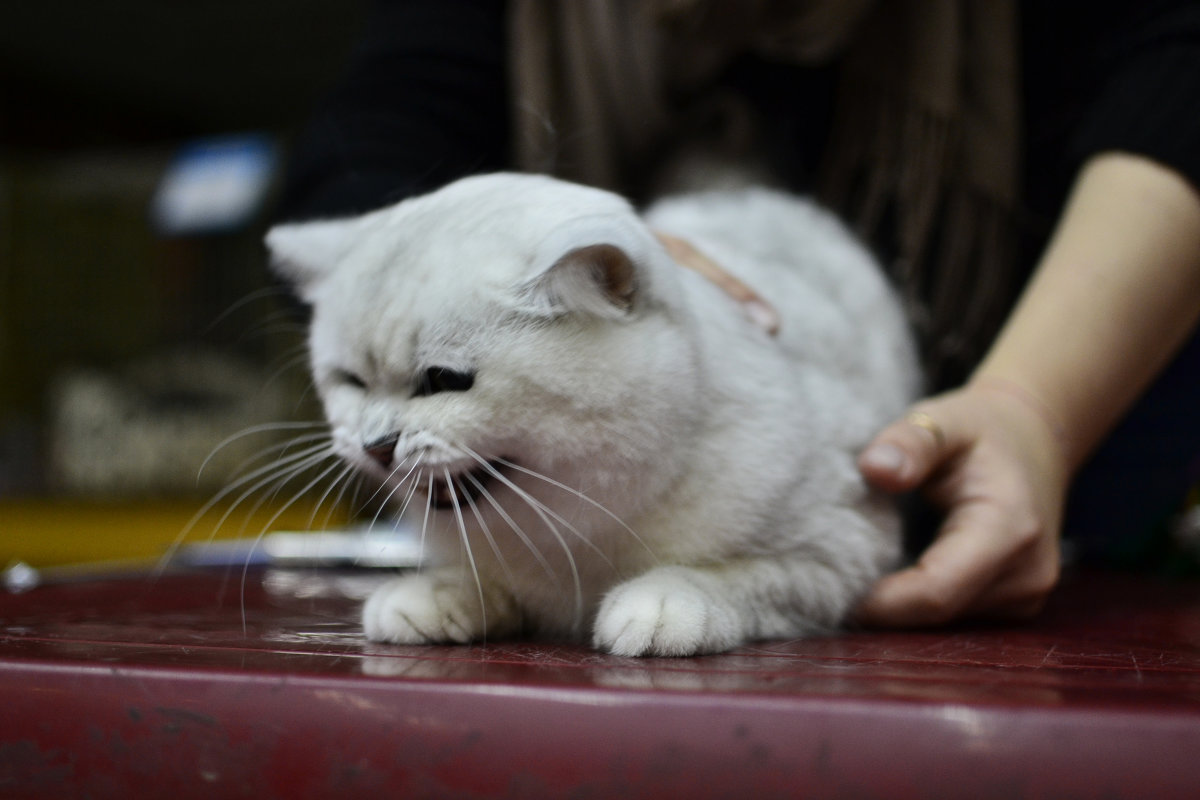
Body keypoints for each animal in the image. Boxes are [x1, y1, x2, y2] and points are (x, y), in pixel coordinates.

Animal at [265, 173, 916, 657]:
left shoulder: (838, 549)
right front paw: (437, 596)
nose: (375, 443)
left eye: (443, 381)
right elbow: (486, 583)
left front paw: (662, 608)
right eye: (352, 381)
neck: (576, 532)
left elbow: (735, 577)